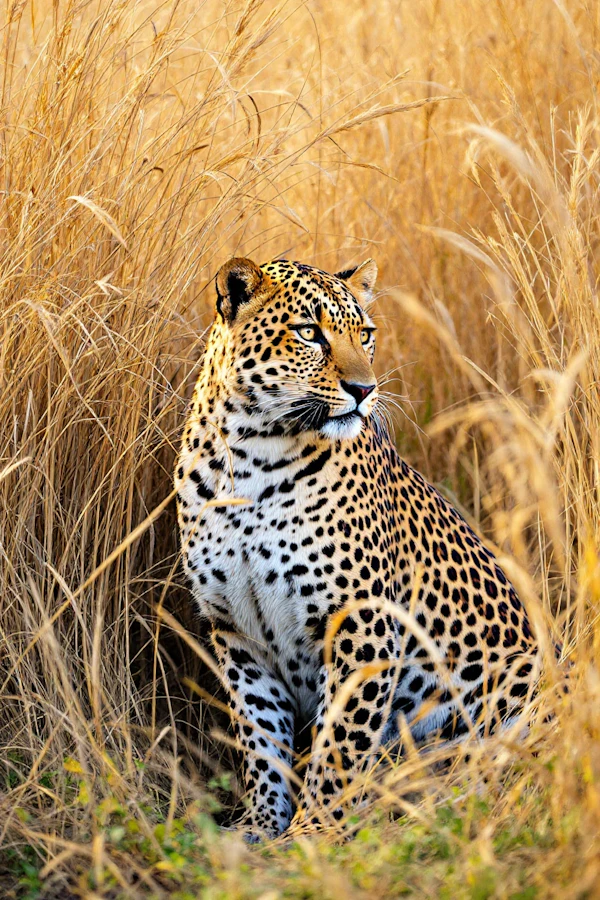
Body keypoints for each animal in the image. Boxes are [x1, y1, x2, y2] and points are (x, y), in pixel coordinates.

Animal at [175, 255, 538, 841]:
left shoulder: (361, 625)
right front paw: (259, 824)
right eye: (309, 334)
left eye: (364, 335)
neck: (252, 454)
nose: (365, 389)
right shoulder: (236, 631)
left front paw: (313, 833)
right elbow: (260, 737)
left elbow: (340, 743)